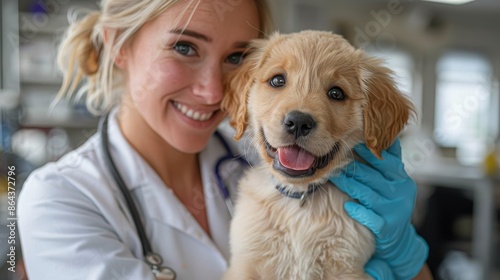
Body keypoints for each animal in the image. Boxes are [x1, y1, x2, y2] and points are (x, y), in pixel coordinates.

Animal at [222, 30, 414, 280]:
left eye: (336, 93)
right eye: (277, 80)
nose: (298, 122)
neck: (300, 198)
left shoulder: (347, 265)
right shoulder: (246, 262)